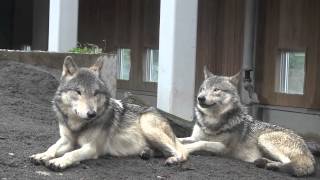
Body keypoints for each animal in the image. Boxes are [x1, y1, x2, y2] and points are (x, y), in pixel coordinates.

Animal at [30, 56, 188, 170]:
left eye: (95, 93)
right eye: (78, 92)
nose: (91, 114)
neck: (77, 125)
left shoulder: (91, 148)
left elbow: (72, 153)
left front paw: (59, 161)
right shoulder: (66, 140)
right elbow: (52, 147)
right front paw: (42, 155)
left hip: (148, 126)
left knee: (182, 152)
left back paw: (173, 159)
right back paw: (146, 152)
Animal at [179, 67, 316, 176]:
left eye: (216, 90)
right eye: (203, 89)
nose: (200, 98)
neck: (211, 121)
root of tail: (307, 149)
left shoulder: (223, 148)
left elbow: (202, 143)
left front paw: (184, 149)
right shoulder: (193, 137)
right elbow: (182, 139)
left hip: (264, 139)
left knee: (290, 163)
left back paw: (270, 165)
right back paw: (263, 162)